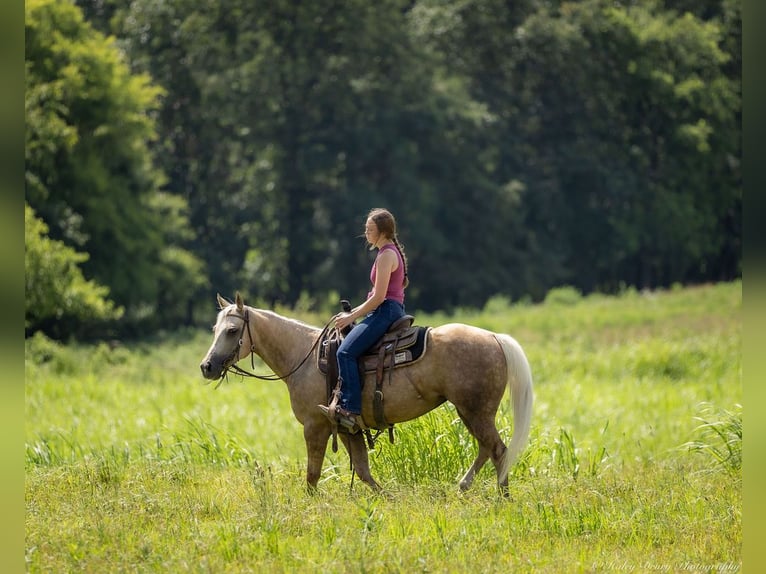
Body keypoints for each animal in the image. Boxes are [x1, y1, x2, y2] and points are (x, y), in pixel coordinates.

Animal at [199, 292, 534, 494]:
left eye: (232, 331)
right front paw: (386, 499)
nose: (207, 366)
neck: (304, 357)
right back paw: (464, 486)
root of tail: (494, 337)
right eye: (215, 329)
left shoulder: (315, 426)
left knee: (498, 450)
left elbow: (312, 474)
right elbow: (362, 470)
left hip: (475, 410)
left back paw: (502, 498)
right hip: (471, 411)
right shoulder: (347, 427)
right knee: (487, 448)